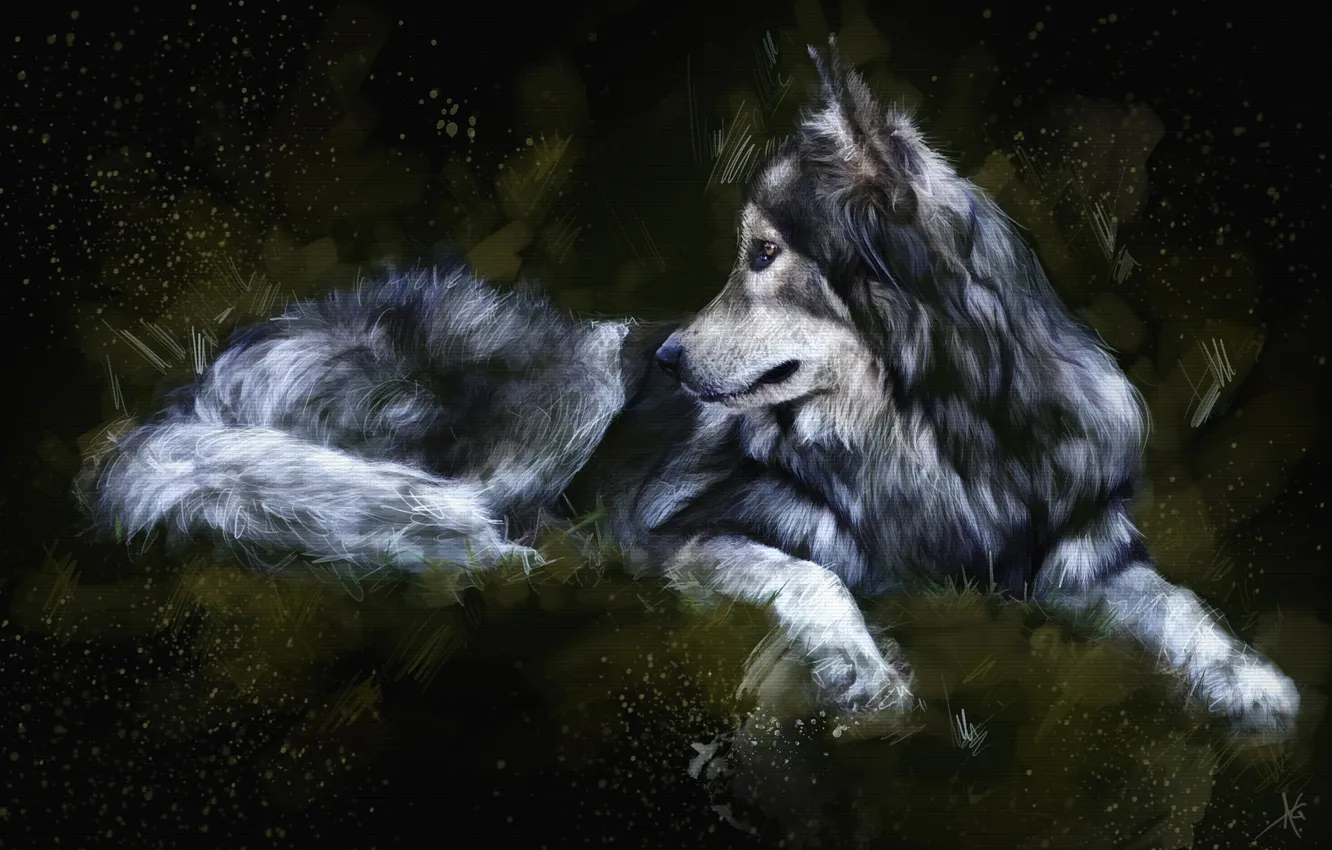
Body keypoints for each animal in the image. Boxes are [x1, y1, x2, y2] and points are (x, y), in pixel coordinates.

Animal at [81, 37, 1299, 736]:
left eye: (762, 253)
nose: (664, 362)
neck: (927, 434)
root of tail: (223, 366)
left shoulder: (1077, 552)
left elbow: (1182, 607)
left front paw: (1254, 684)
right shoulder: (678, 533)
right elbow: (815, 578)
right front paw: (864, 675)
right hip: (569, 381)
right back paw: (499, 554)